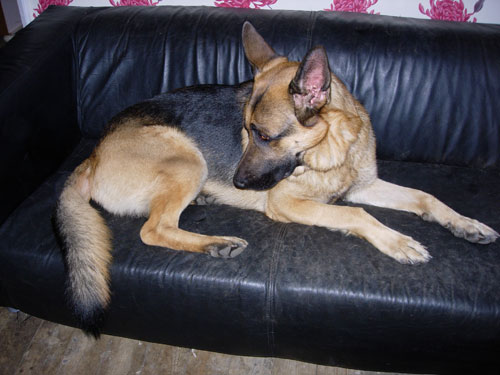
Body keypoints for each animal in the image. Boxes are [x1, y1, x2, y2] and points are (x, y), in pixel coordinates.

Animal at [54, 22, 496, 334]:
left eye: (264, 136)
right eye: (246, 132)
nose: (237, 184)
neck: (331, 149)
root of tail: (94, 154)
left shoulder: (365, 186)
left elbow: (425, 196)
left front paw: (465, 224)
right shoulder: (288, 202)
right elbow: (356, 215)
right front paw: (398, 241)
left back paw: (207, 204)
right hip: (188, 161)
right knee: (153, 229)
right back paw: (217, 242)